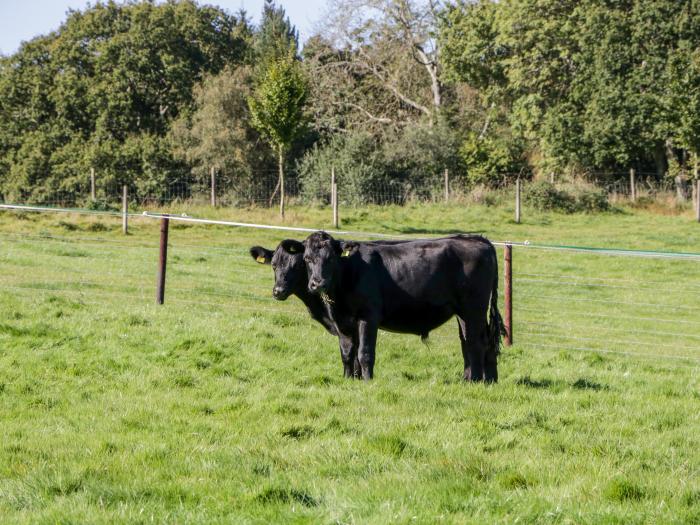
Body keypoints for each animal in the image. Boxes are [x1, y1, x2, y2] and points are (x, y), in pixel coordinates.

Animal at [304, 232, 500, 380]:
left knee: (475, 342)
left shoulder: (368, 316)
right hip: (463, 312)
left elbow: (364, 352)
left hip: (473, 309)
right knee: (472, 341)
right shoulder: (342, 320)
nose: (317, 283)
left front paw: (367, 381)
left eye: (331, 258)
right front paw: (349, 379)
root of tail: (475, 238)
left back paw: (474, 380)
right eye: (307, 259)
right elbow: (347, 353)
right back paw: (485, 380)